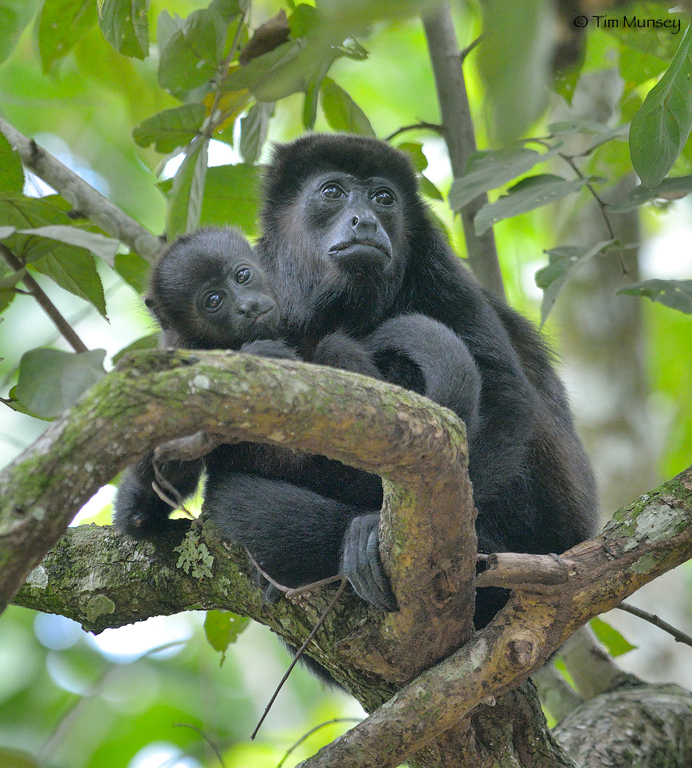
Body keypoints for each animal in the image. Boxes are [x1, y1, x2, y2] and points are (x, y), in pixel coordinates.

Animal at [199, 134, 596, 624]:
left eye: (383, 198)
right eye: (332, 191)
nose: (366, 220)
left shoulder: (437, 265)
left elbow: (502, 394)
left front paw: (369, 525)